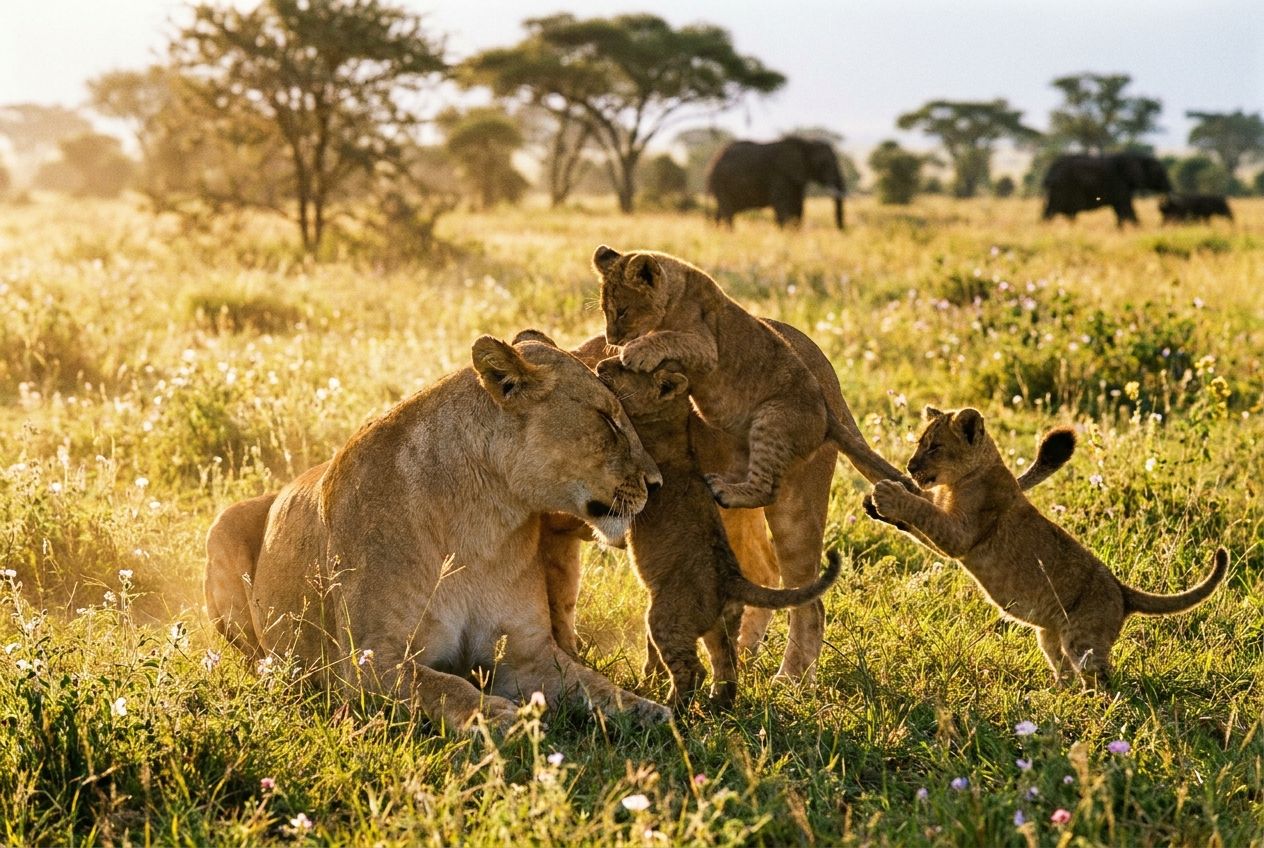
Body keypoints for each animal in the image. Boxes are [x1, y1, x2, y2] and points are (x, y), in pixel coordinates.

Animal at [205, 333, 671, 731]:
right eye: (607, 419)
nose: (656, 483)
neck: (480, 523)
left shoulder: (527, 653)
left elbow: (594, 685)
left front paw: (649, 710)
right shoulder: (367, 659)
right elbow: (444, 685)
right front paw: (498, 716)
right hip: (223, 526)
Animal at [596, 357, 841, 708]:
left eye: (624, 368)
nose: (601, 365)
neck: (673, 428)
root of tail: (730, 578)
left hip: (667, 617)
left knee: (693, 670)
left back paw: (675, 709)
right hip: (721, 625)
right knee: (726, 665)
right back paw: (718, 705)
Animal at [865, 406, 1229, 689]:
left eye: (935, 447)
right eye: (919, 443)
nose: (910, 467)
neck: (959, 481)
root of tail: (1122, 590)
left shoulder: (962, 535)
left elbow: (924, 513)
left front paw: (889, 495)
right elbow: (920, 519)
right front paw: (877, 506)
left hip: (1084, 639)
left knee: (1101, 678)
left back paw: (1093, 707)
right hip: (1051, 635)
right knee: (1064, 669)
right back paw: (1054, 695)